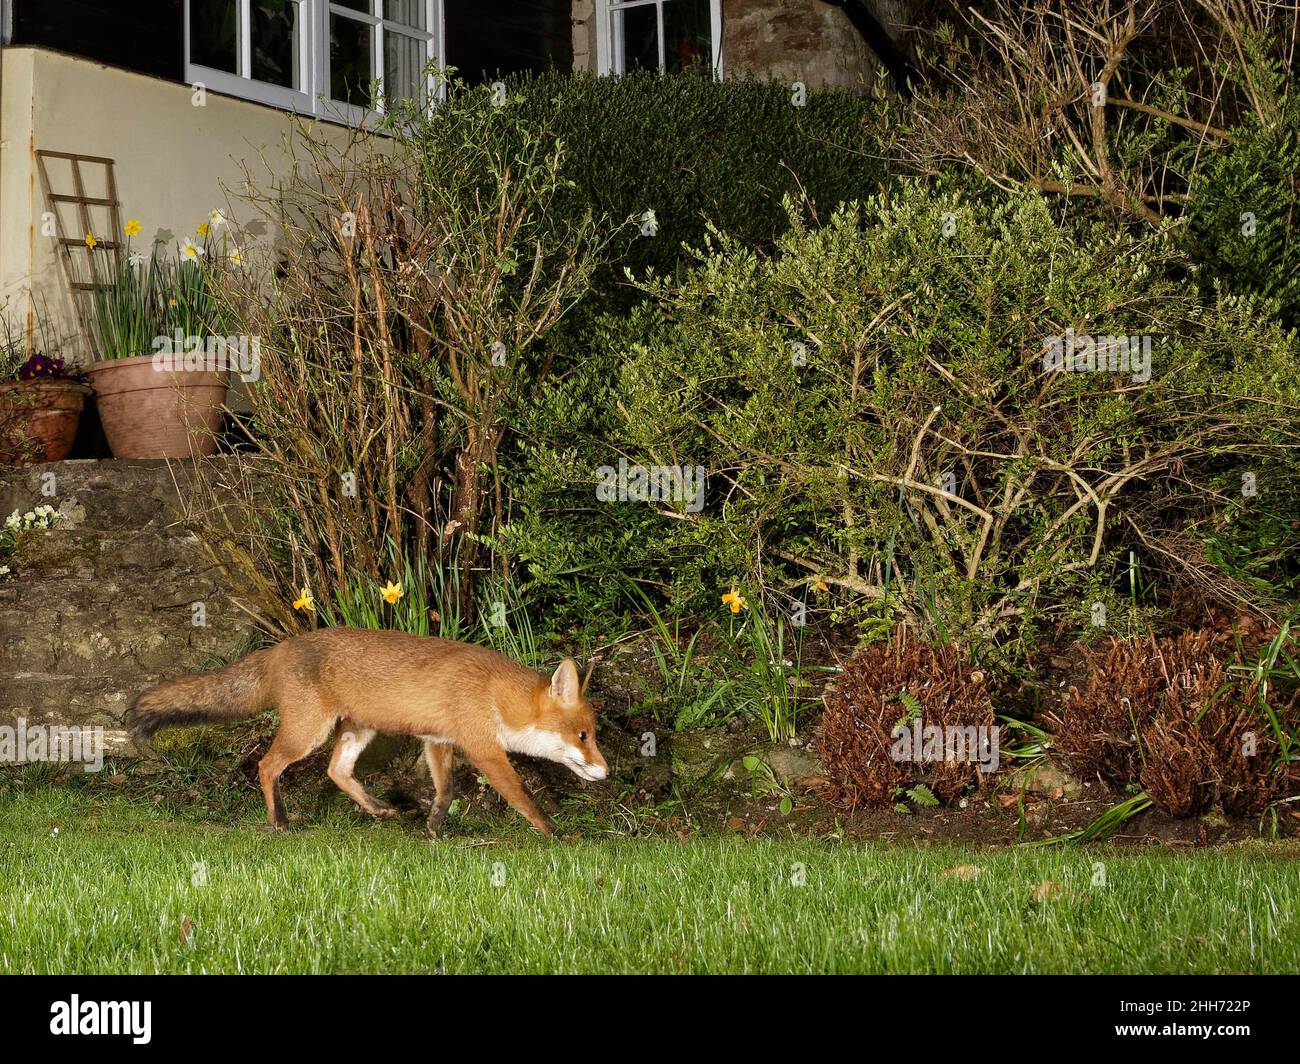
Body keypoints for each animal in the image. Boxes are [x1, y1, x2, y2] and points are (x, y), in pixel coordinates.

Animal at [124, 626, 605, 832]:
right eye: (583, 736)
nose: (605, 770)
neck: (494, 694)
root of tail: (279, 648)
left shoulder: (438, 742)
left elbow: (445, 793)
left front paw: (433, 831)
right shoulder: (484, 749)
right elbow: (523, 799)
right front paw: (556, 836)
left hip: (357, 731)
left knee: (335, 771)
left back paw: (377, 808)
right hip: (308, 733)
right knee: (266, 766)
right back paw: (279, 822)